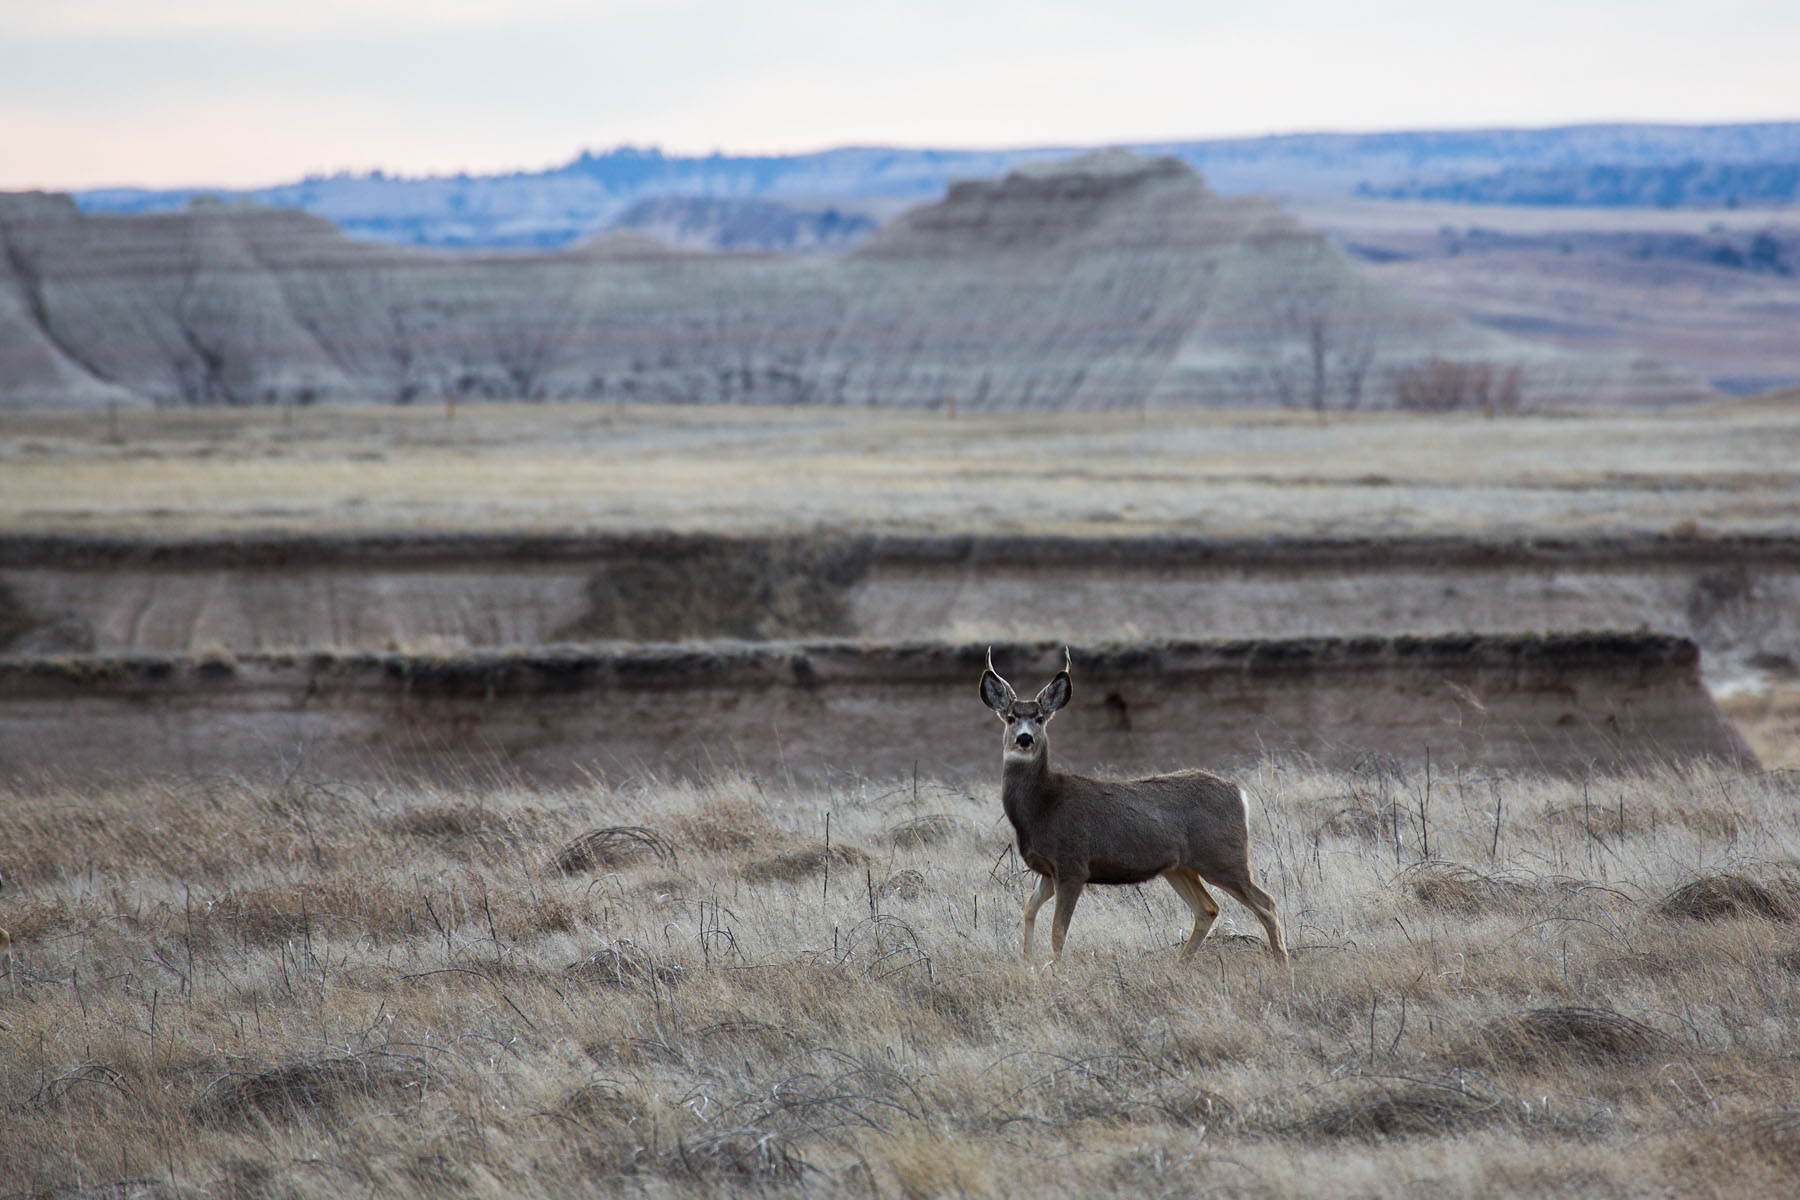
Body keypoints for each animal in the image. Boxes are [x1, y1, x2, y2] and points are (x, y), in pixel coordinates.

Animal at [979, 648, 1286, 964]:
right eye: (1010, 717)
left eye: (1040, 718)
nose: (1024, 738)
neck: (1042, 807)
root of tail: (1239, 794)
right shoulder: (1049, 870)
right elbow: (1028, 908)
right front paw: (1027, 960)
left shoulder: (1073, 863)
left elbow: (1058, 930)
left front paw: (1054, 967)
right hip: (1180, 866)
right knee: (1208, 908)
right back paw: (1179, 965)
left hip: (1222, 855)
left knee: (1266, 902)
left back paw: (1281, 963)